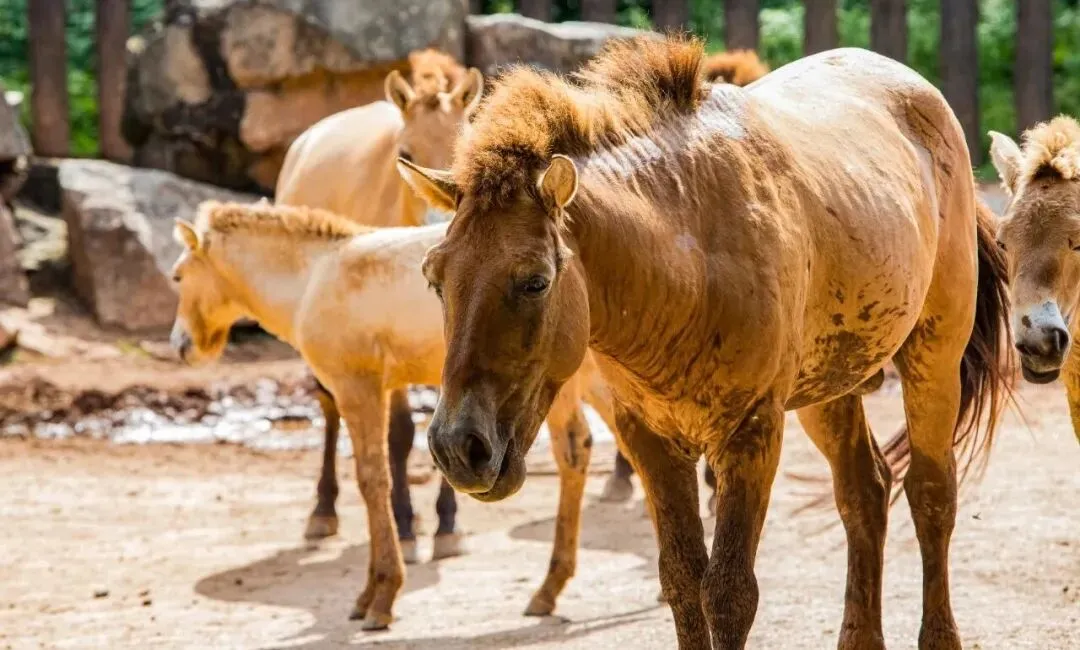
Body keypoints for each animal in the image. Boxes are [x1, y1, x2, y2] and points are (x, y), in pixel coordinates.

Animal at [167, 200, 617, 629]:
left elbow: (372, 480)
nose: (181, 346)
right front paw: (368, 593)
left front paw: (382, 596)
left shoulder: (358, 389)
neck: (316, 274)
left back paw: (551, 586)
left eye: (177, 277)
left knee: (574, 450)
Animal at [274, 49, 484, 548]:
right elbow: (401, 433)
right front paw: (406, 521)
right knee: (330, 407)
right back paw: (324, 510)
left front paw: (447, 521)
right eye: (405, 153)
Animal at [398, 36, 1011, 649]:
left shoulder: (751, 435)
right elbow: (681, 579)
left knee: (931, 495)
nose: (456, 447)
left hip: (934, 358)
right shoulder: (650, 440)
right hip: (831, 389)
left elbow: (730, 592)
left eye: (534, 281)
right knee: (865, 494)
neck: (689, 267)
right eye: (434, 277)